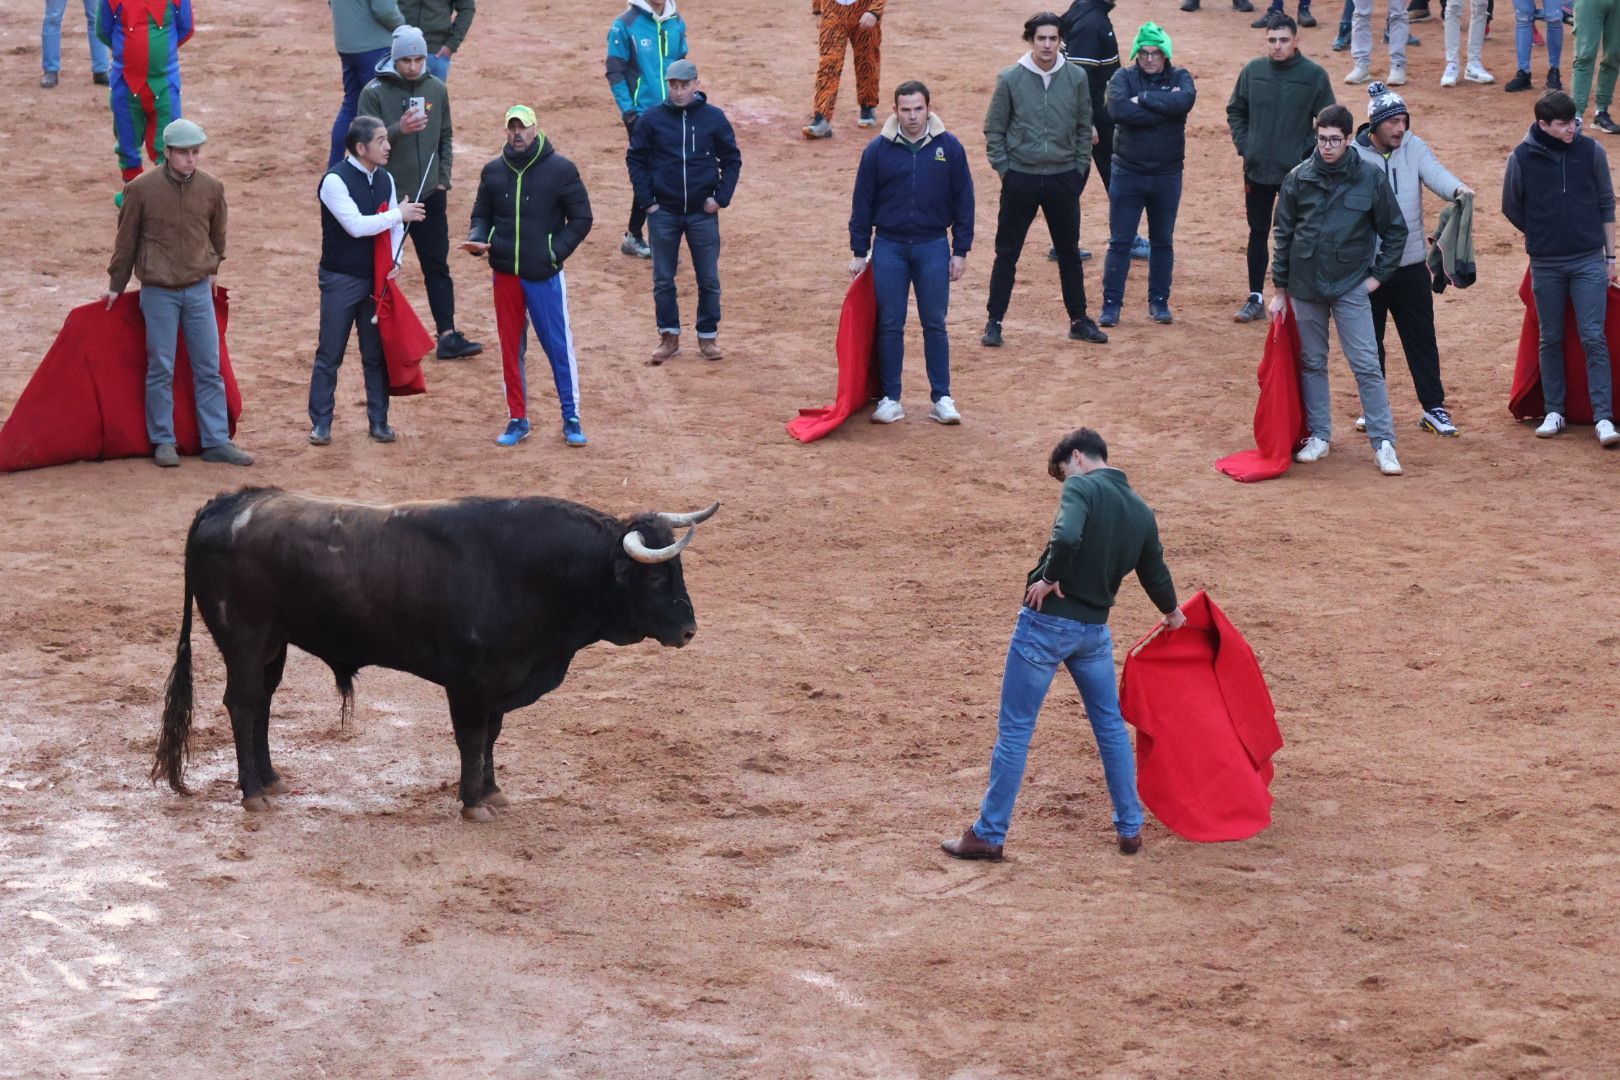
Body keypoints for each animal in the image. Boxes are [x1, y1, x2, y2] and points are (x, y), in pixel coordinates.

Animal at [156, 488, 716, 819]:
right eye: (653, 577)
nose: (689, 631)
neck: (528, 571)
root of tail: (224, 504)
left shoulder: (497, 684)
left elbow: (492, 736)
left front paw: (491, 792)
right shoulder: (468, 682)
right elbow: (472, 738)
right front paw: (473, 803)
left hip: (274, 644)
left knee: (263, 705)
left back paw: (272, 780)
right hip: (245, 640)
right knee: (242, 704)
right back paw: (252, 792)